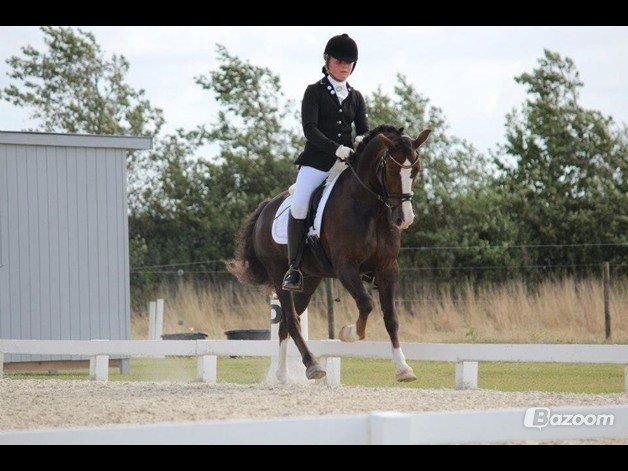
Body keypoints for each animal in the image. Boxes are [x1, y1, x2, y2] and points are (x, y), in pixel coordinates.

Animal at [228, 125, 430, 384]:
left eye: (415, 170)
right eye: (391, 170)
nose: (403, 219)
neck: (369, 209)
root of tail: (266, 208)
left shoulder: (387, 268)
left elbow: (391, 317)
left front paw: (403, 368)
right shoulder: (346, 267)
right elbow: (366, 303)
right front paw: (349, 333)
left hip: (309, 279)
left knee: (285, 323)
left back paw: (282, 374)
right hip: (278, 273)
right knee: (291, 319)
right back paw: (312, 366)